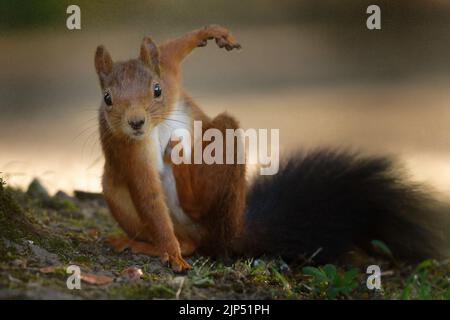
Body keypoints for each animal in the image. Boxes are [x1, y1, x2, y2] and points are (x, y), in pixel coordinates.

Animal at [94, 25, 446, 272]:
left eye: (157, 90)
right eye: (108, 98)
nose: (136, 122)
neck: (156, 126)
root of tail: (232, 231)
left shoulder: (169, 73)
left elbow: (173, 50)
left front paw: (210, 33)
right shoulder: (130, 152)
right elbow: (149, 197)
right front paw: (170, 253)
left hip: (223, 156)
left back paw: (180, 165)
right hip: (118, 191)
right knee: (189, 241)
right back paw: (152, 242)